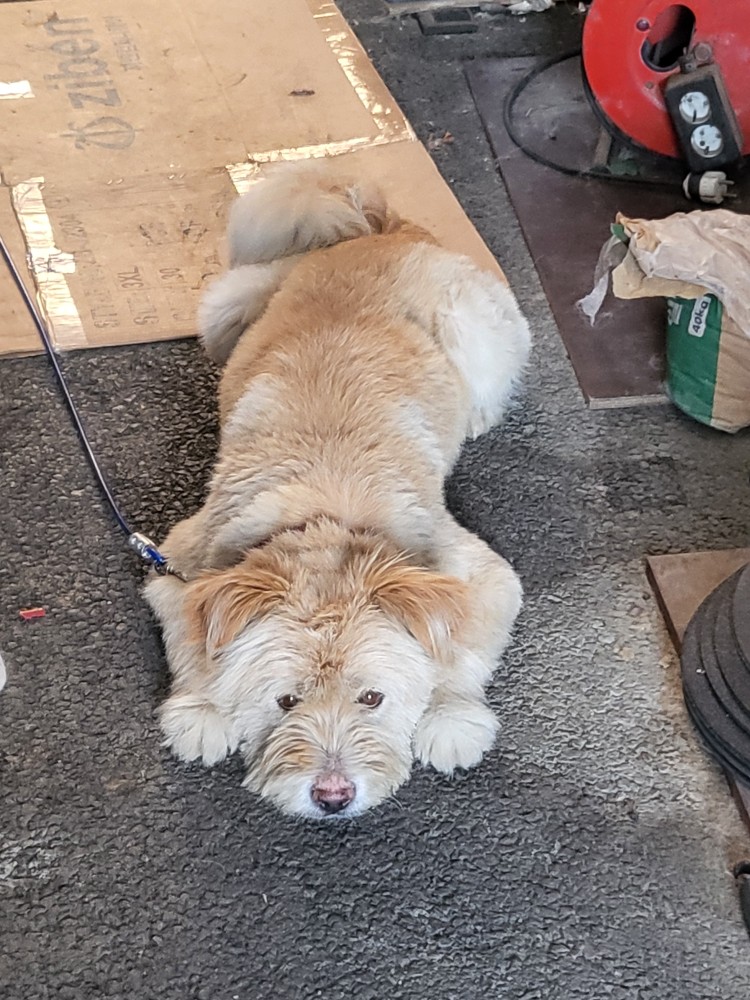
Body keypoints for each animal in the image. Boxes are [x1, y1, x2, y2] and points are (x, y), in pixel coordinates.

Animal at [145, 162, 530, 819]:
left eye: (373, 698)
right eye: (285, 701)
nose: (332, 796)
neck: (324, 509)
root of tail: (381, 229)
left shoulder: (480, 576)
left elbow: (459, 648)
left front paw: (451, 717)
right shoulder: (181, 565)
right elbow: (193, 637)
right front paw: (203, 706)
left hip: (472, 322)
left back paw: (479, 415)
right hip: (226, 303)